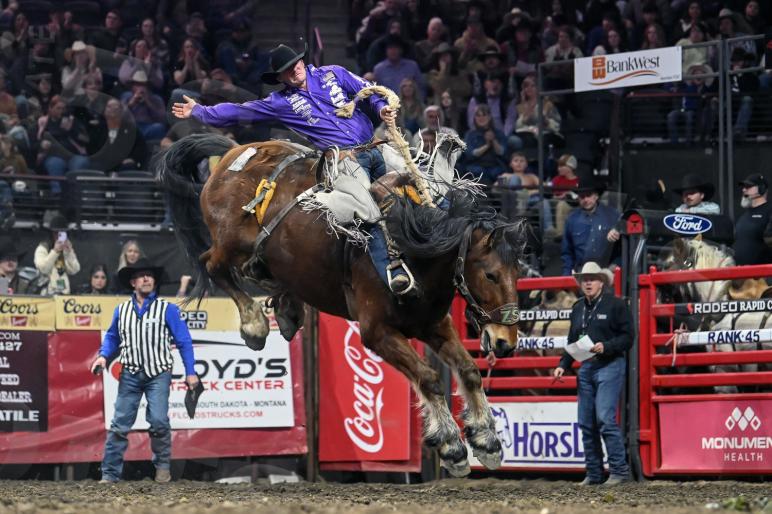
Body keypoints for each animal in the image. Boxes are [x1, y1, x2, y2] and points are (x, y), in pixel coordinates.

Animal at [157, 133, 527, 476]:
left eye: (518, 271)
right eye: (491, 274)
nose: (506, 342)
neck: (414, 252)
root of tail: (234, 152)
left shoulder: (434, 325)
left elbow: (469, 371)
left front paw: (487, 441)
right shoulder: (377, 332)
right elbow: (429, 378)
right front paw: (452, 447)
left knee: (255, 270)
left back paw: (287, 309)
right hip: (230, 242)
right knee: (212, 264)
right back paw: (255, 325)